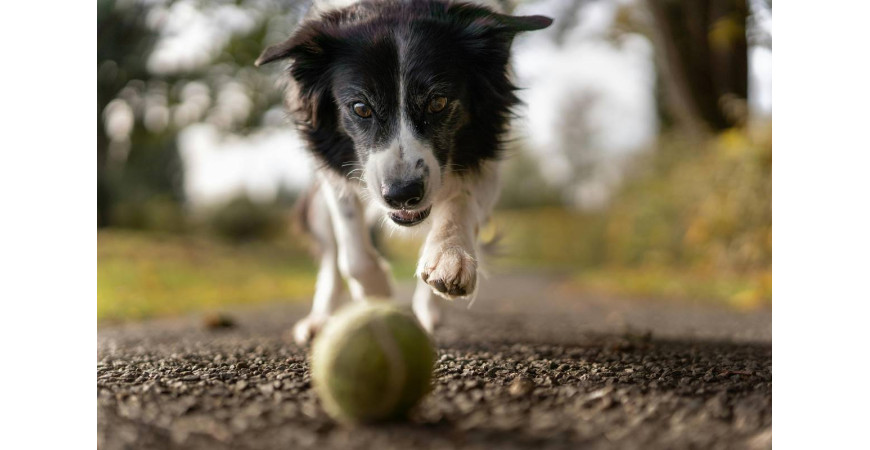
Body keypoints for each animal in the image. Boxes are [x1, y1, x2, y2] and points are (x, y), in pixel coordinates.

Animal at [255, 0, 552, 344]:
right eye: (360, 108)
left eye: (438, 102)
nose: (402, 195)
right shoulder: (334, 170)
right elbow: (352, 252)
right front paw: (377, 293)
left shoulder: (485, 156)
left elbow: (460, 201)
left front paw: (449, 257)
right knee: (331, 255)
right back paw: (320, 320)